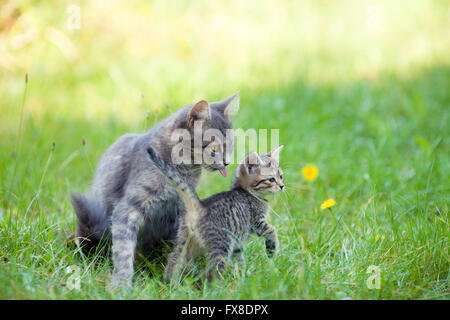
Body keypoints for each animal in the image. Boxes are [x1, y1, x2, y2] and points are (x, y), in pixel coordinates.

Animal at [71, 92, 239, 288]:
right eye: (214, 148)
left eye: (231, 144)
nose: (227, 162)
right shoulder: (127, 208)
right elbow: (123, 249)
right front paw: (121, 283)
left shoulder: (183, 208)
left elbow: (183, 245)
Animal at [146, 145, 284, 282]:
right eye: (271, 179)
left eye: (281, 176)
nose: (282, 186)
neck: (246, 191)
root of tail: (200, 207)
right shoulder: (257, 222)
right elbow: (272, 230)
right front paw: (273, 250)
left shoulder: (237, 244)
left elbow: (239, 260)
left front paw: (241, 278)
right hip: (221, 245)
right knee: (213, 270)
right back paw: (218, 286)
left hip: (185, 240)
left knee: (175, 257)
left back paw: (170, 282)